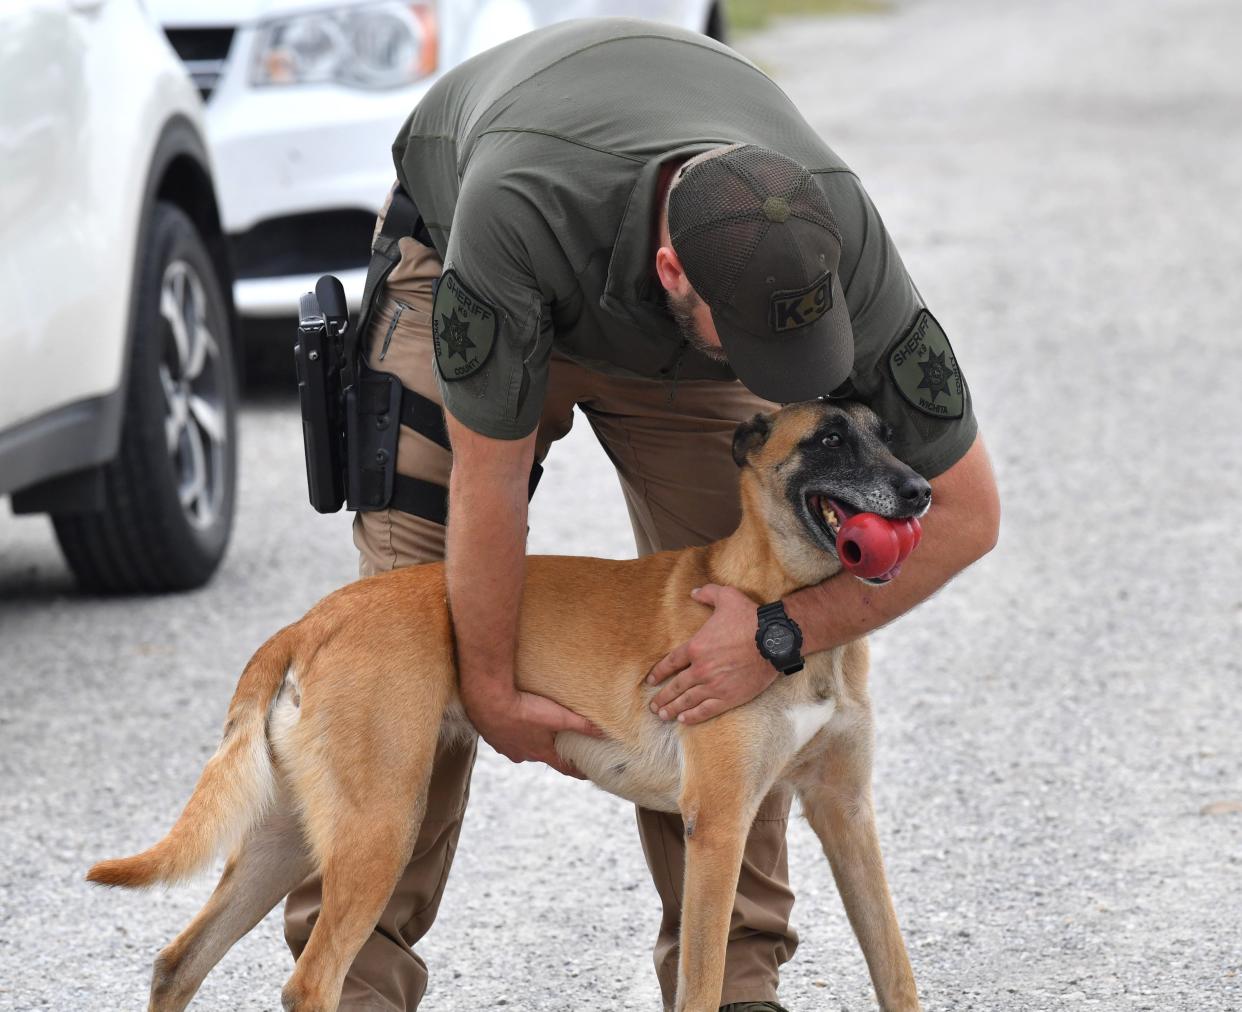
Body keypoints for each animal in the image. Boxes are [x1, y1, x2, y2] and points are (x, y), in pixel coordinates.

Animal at [87, 399, 929, 1008]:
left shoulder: (846, 813)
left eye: (887, 435)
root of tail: (312, 620)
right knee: (309, 981)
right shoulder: (718, 825)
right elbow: (701, 982)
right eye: (828, 438)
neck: (781, 610)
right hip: (380, 829)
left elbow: (896, 966)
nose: (921, 490)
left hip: (292, 835)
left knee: (177, 962)